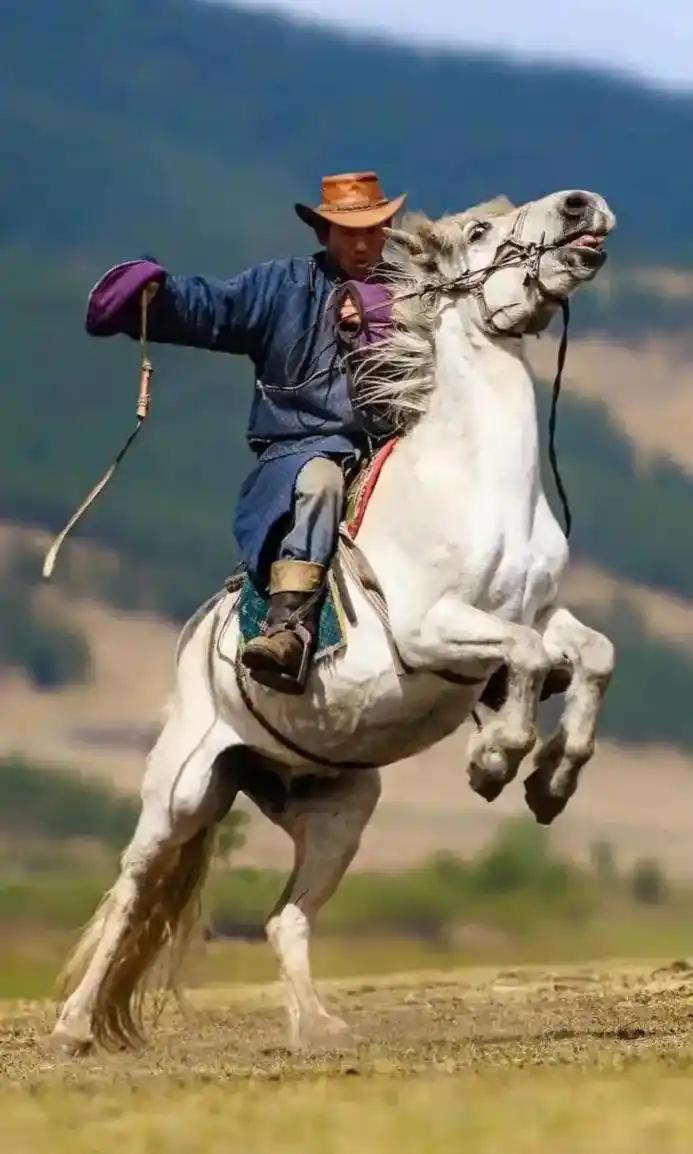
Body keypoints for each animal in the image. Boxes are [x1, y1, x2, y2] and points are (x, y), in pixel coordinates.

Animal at [53, 188, 616, 1055]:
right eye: (480, 230)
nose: (580, 206)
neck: (479, 484)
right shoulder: (429, 625)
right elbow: (521, 659)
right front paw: (494, 761)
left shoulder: (542, 613)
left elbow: (590, 656)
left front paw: (551, 781)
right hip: (179, 794)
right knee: (131, 893)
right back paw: (75, 1026)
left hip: (336, 811)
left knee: (284, 918)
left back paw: (318, 1027)